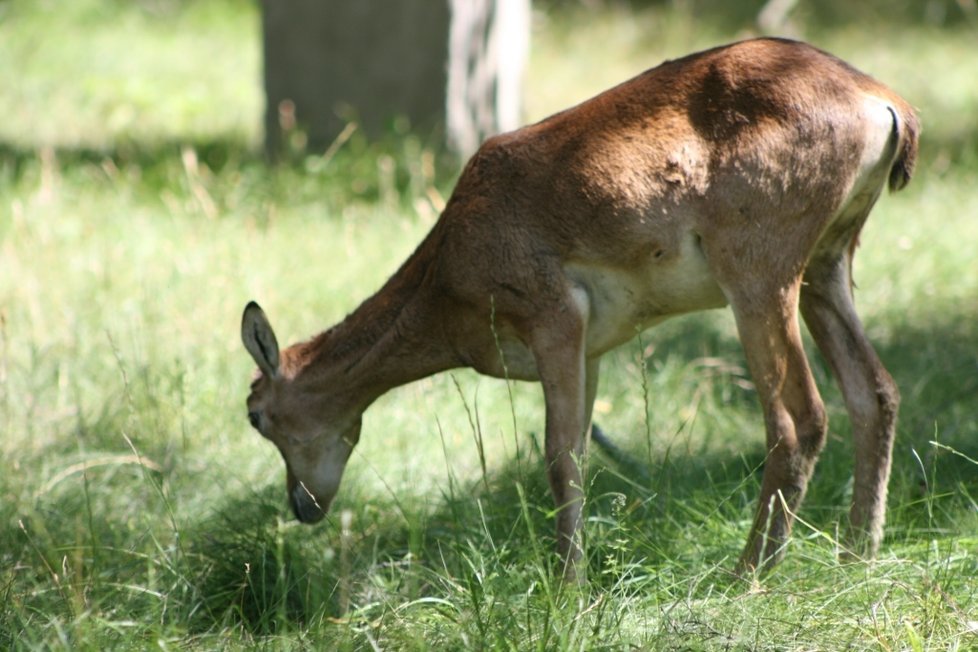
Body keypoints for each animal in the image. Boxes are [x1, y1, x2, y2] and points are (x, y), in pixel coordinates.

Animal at [242, 38, 916, 580]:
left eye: (255, 415)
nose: (302, 505)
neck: (448, 275)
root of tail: (887, 107)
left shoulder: (555, 318)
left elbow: (558, 456)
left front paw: (568, 590)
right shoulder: (591, 347)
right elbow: (583, 456)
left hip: (758, 275)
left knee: (800, 418)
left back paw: (746, 575)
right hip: (826, 267)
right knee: (875, 390)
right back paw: (856, 557)